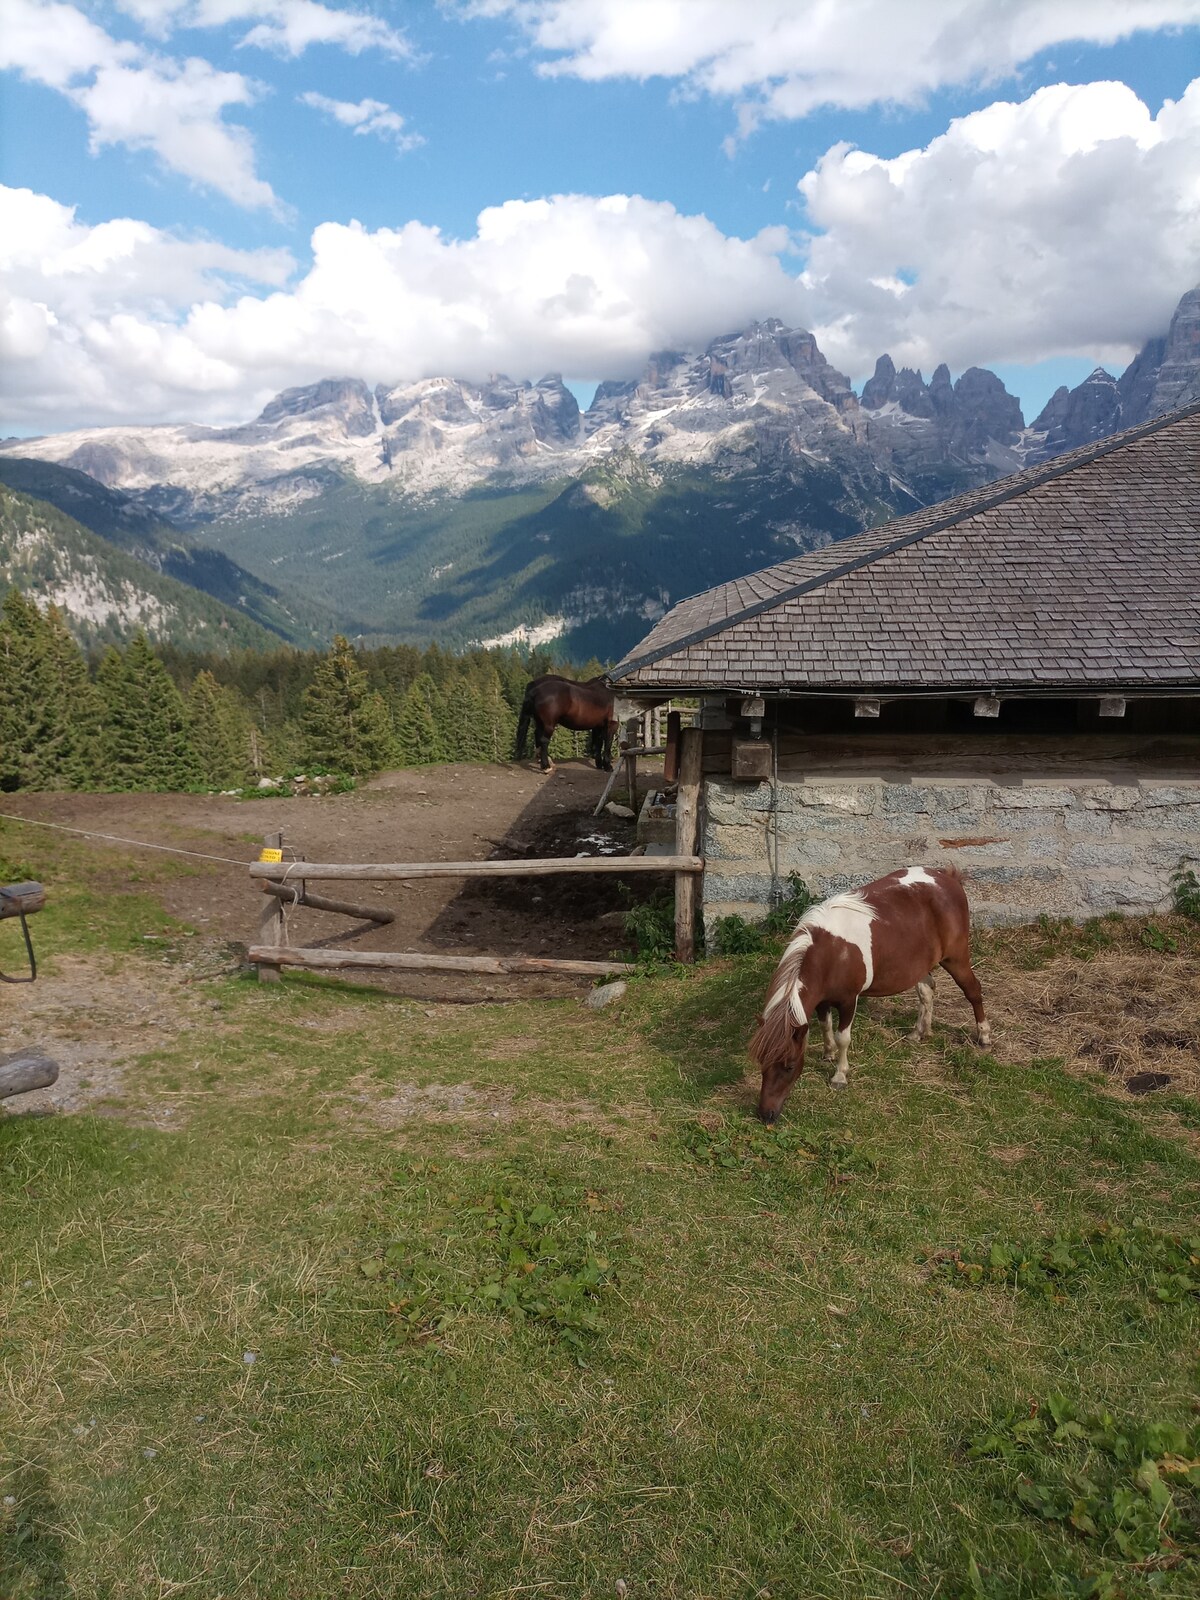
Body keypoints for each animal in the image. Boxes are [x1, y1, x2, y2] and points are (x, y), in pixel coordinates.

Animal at [755, 864, 992, 1126]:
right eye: (761, 1061)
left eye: (789, 1066)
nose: (766, 1114)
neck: (831, 954)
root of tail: (948, 878)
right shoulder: (822, 1001)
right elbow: (826, 1027)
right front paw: (828, 1054)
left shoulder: (848, 1001)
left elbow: (842, 1037)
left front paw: (839, 1075)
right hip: (919, 966)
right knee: (927, 991)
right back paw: (920, 1032)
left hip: (956, 958)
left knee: (973, 991)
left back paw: (983, 1036)